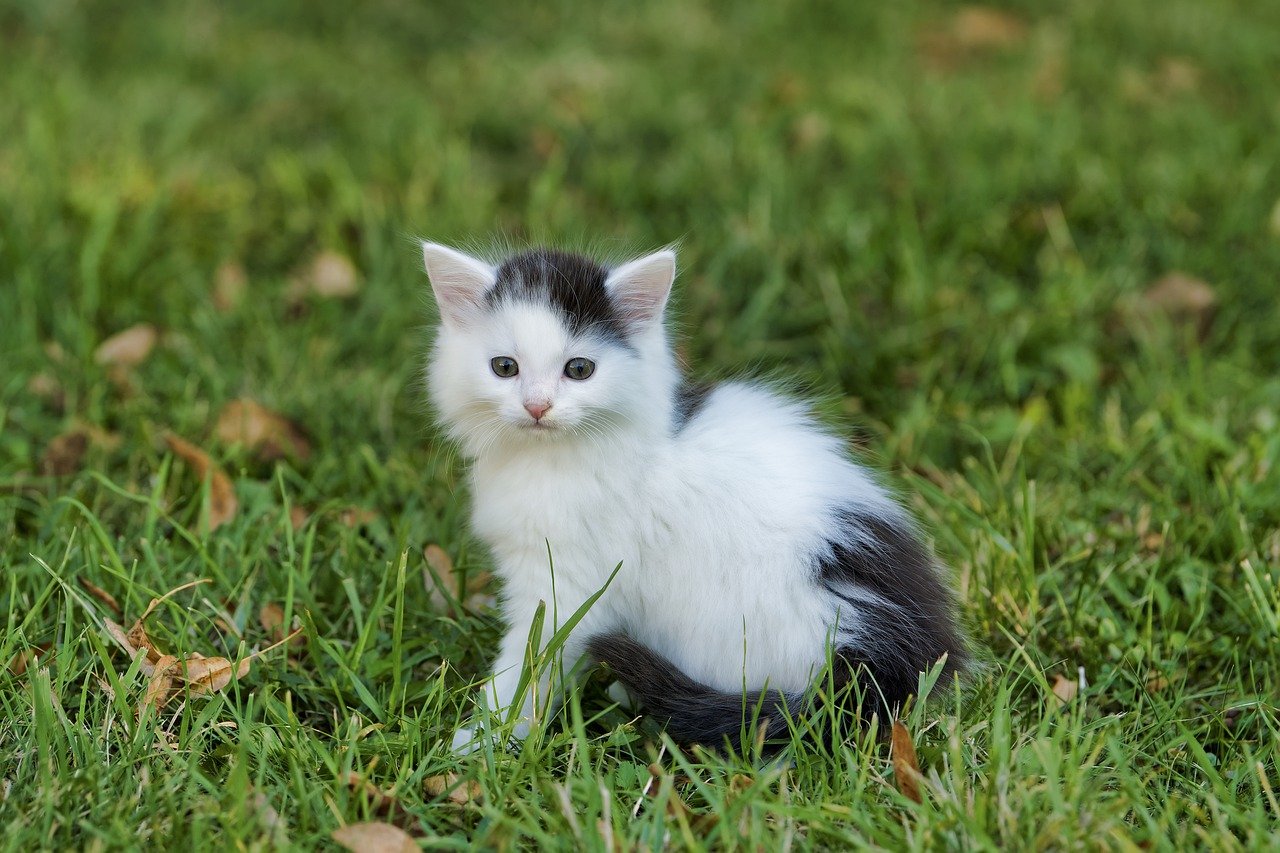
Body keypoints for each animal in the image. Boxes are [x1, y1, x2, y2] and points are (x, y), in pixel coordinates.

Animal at [422, 242, 967, 747]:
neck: (554, 458)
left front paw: (484, 737)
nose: (537, 406)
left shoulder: (567, 581)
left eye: (579, 369)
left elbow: (532, 658)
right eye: (504, 367)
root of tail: (891, 655)